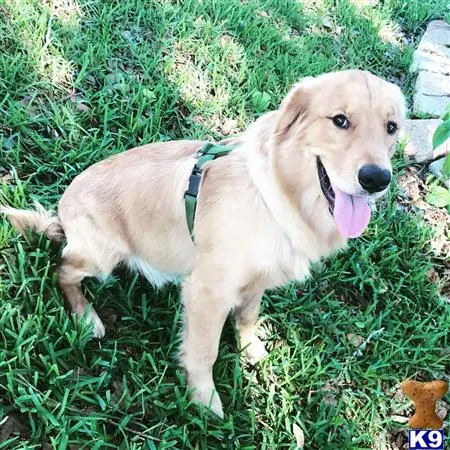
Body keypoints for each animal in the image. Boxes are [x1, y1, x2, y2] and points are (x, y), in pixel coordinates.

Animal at [1, 70, 404, 418]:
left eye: (392, 127)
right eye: (340, 120)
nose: (377, 179)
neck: (277, 195)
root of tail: (62, 213)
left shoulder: (256, 279)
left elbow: (248, 315)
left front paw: (250, 348)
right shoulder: (207, 292)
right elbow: (204, 350)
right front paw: (204, 398)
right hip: (101, 254)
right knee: (63, 270)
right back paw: (86, 315)